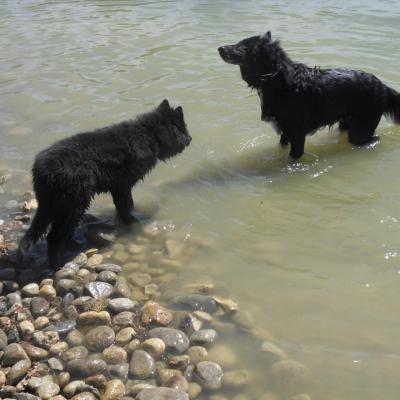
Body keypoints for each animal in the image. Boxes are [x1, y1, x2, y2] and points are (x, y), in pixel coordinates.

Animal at [18, 99, 192, 268]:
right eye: (183, 128)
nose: (190, 139)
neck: (149, 134)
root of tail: (42, 170)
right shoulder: (123, 185)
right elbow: (125, 204)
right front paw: (131, 221)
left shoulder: (119, 186)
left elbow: (123, 205)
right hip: (74, 203)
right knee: (55, 236)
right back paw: (57, 264)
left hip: (56, 205)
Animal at [219, 30, 400, 158]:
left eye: (242, 45)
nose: (219, 48)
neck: (276, 79)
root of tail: (383, 86)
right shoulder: (285, 132)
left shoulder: (297, 133)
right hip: (346, 123)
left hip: (360, 130)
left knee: (374, 139)